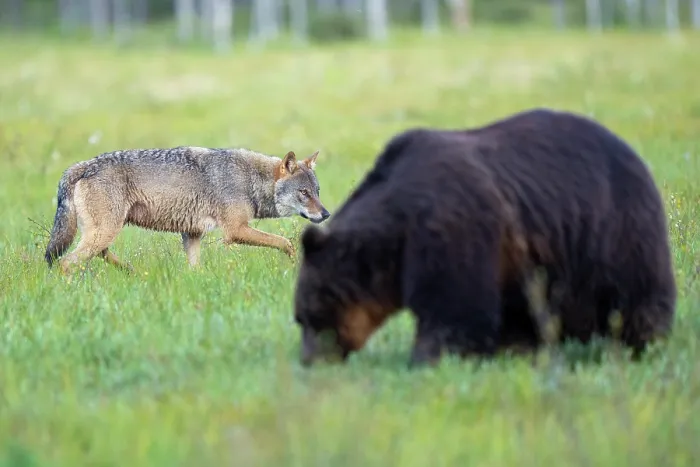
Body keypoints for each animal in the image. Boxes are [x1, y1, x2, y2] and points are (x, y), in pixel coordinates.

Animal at [44, 146, 330, 274]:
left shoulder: (192, 234)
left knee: (99, 254)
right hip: (104, 232)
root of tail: (81, 166)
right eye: (303, 193)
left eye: (317, 191)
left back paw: (132, 272)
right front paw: (295, 265)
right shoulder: (235, 231)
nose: (326, 214)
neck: (250, 179)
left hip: (103, 232)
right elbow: (285, 242)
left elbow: (195, 269)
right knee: (65, 262)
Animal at [292, 107, 677, 368]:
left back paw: (641, 344)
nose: (309, 360)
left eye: (312, 315)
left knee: (635, 297)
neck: (395, 236)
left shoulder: (451, 228)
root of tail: (636, 156)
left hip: (613, 230)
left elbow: (454, 307)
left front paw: (429, 356)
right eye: (301, 318)